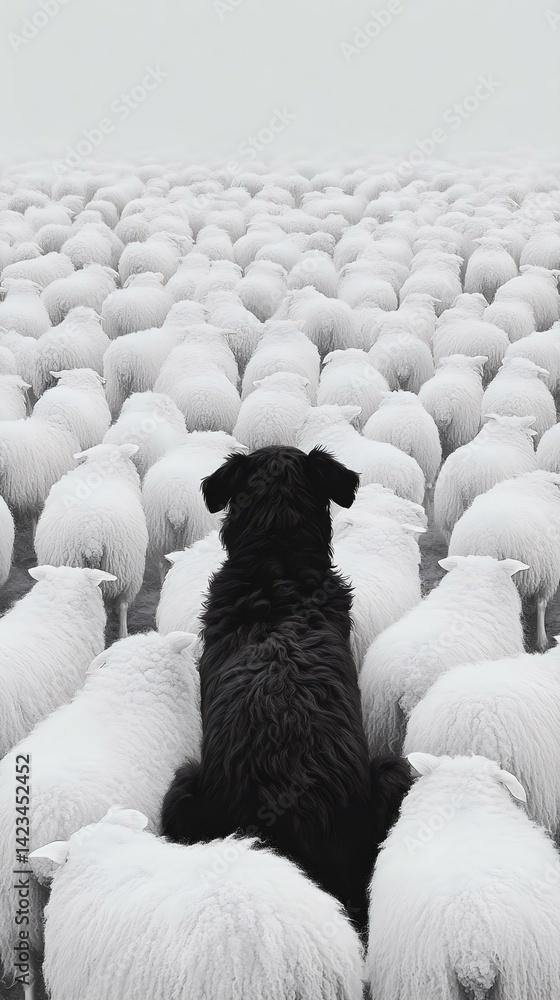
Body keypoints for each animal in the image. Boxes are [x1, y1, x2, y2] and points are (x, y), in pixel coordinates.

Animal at [449, 470, 560, 651]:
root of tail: (487, 545)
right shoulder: (548, 574)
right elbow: (541, 604)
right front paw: (541, 640)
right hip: (539, 571)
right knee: (539, 604)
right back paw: (540, 639)